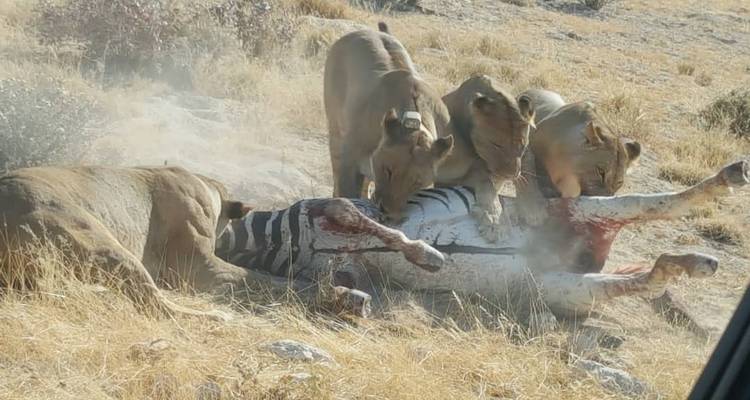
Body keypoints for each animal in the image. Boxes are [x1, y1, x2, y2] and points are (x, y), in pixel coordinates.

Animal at [0, 165, 254, 320]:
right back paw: (218, 316)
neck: (207, 187)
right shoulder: (195, 267)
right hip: (100, 242)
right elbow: (249, 275)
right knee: (158, 306)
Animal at [324, 23, 454, 222]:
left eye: (416, 183)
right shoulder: (350, 163)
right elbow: (348, 193)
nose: (389, 212)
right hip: (336, 131)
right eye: (388, 170)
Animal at [438, 75, 535, 240]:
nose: (510, 174)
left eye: (522, 145)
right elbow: (487, 186)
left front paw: (531, 208)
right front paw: (494, 222)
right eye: (496, 145)